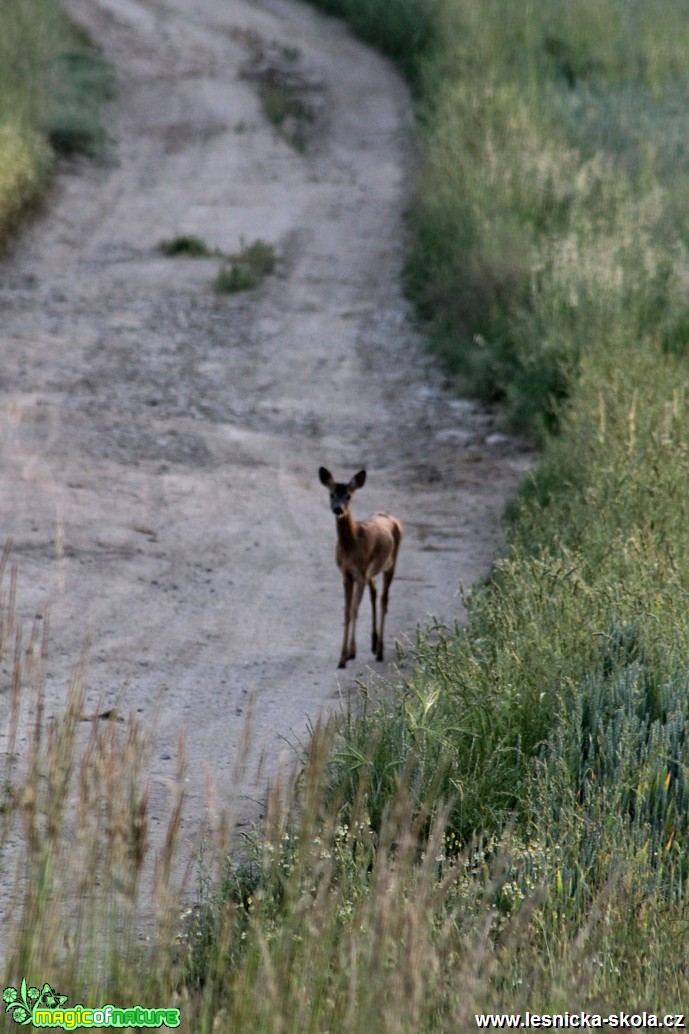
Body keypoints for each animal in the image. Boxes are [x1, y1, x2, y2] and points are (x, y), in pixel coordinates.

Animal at [318, 469, 403, 670]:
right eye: (331, 494)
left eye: (348, 496)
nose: (338, 509)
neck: (352, 545)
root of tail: (391, 518)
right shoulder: (346, 574)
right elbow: (347, 611)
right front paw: (344, 656)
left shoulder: (360, 573)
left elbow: (354, 609)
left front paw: (347, 654)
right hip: (371, 572)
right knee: (375, 593)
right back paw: (373, 643)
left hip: (390, 564)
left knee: (384, 600)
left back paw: (379, 650)